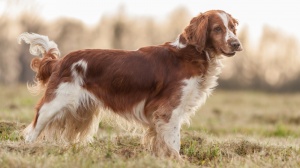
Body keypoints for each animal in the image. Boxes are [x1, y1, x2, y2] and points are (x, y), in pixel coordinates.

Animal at [18, 9, 243, 158]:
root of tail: (60, 61)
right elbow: (173, 143)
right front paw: (177, 160)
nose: (237, 44)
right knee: (32, 131)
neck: (190, 54)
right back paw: (27, 150)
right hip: (54, 104)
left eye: (232, 28)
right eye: (217, 29)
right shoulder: (168, 112)